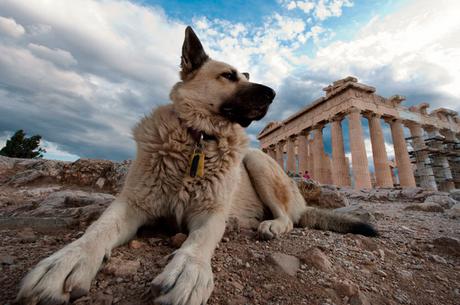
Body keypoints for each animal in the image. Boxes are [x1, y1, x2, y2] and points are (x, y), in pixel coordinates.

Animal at [18, 25, 378, 304]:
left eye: (246, 76)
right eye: (228, 76)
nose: (274, 93)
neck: (199, 140)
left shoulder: (210, 212)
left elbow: (200, 241)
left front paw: (188, 271)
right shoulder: (132, 204)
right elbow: (98, 230)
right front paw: (68, 260)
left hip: (256, 160)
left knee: (290, 218)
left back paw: (270, 225)